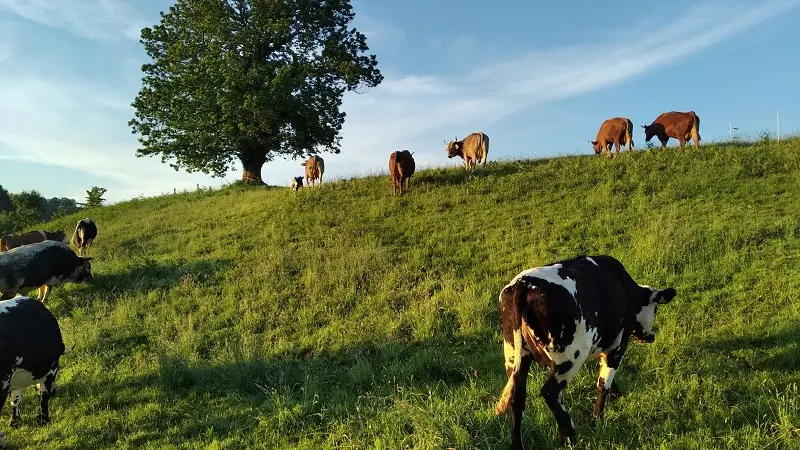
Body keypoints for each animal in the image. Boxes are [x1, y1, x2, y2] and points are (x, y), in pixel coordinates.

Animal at [494, 255, 676, 448]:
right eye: (655, 308)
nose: (651, 337)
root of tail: (525, 282)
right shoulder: (618, 346)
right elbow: (603, 382)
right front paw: (597, 420)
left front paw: (616, 394)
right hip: (570, 358)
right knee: (550, 393)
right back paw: (568, 435)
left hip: (515, 356)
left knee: (517, 399)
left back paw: (517, 444)